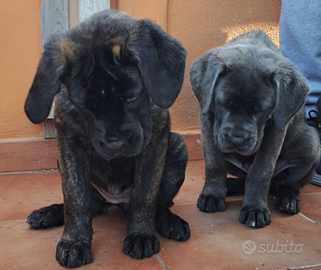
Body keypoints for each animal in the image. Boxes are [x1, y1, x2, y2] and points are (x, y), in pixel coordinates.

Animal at [26, 9, 190, 266]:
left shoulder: (155, 143)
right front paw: (74, 241)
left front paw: (141, 234)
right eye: (84, 106)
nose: (115, 144)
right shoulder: (69, 146)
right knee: (91, 204)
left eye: (132, 98)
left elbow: (145, 194)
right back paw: (49, 213)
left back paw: (169, 222)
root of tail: (115, 200)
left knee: (159, 205)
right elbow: (75, 199)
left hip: (178, 147)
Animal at [189, 29, 318, 228]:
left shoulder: (276, 131)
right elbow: (214, 163)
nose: (236, 140)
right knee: (243, 178)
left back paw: (288, 199)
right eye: (222, 102)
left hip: (311, 145)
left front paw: (255, 208)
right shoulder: (207, 119)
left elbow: (260, 171)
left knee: (288, 185)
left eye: (262, 110)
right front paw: (212, 194)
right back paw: (230, 185)